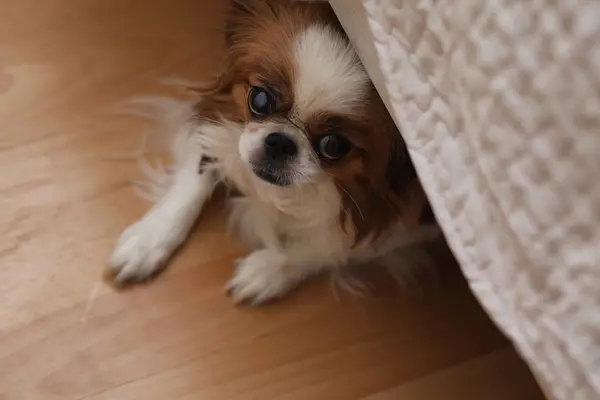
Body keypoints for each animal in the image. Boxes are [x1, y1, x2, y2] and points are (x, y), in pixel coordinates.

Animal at [106, 0, 436, 304]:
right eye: (260, 99)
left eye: (334, 145)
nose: (280, 142)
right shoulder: (213, 123)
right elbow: (191, 185)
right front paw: (149, 239)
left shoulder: (413, 219)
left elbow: (329, 247)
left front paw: (267, 271)